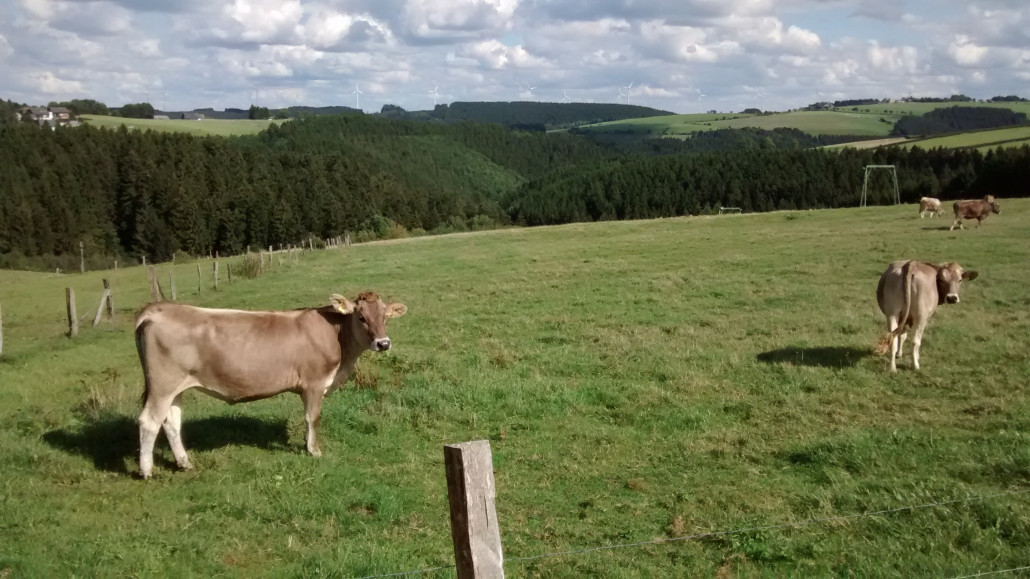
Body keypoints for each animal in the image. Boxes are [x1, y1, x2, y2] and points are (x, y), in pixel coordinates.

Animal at [134, 292, 407, 479]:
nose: (383, 343)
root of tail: (158, 308)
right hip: (162, 384)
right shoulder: (314, 383)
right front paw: (314, 450)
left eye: (385, 317)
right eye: (361, 317)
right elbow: (313, 417)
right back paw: (147, 471)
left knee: (171, 421)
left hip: (175, 387)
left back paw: (184, 462)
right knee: (149, 421)